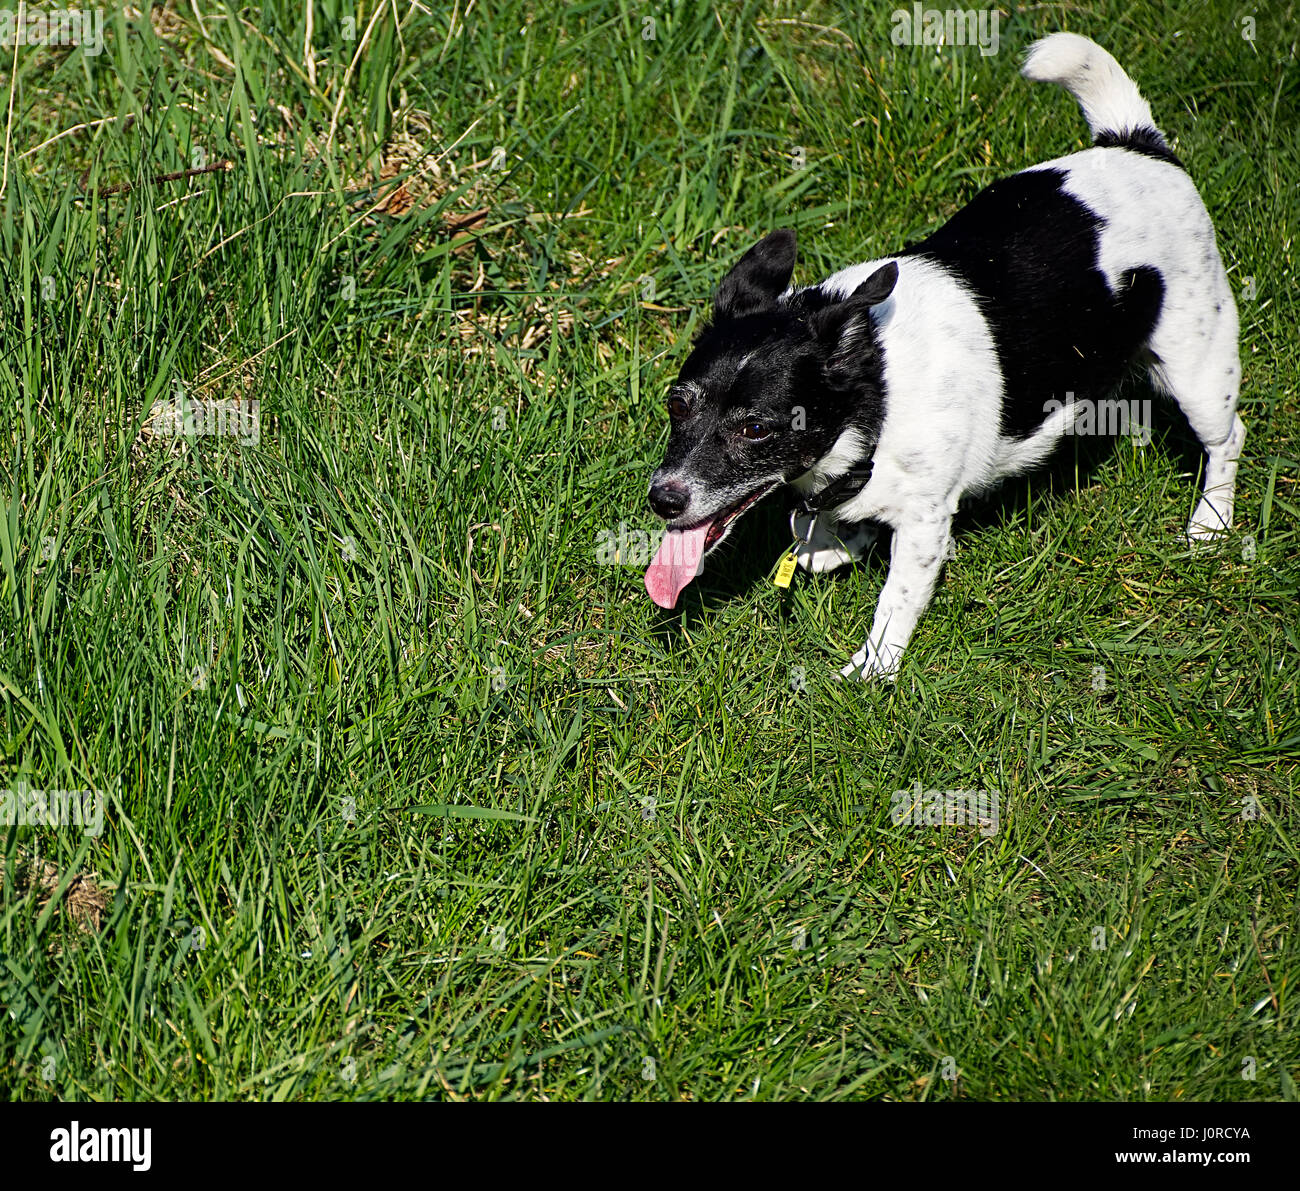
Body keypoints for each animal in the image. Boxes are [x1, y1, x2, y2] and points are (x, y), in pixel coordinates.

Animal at [644, 30, 1242, 681]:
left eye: (755, 429)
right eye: (677, 405)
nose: (662, 499)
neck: (875, 390)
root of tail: (1136, 143)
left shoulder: (927, 521)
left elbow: (897, 598)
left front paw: (873, 669)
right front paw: (835, 543)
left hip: (1198, 363)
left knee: (1226, 438)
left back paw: (1211, 523)